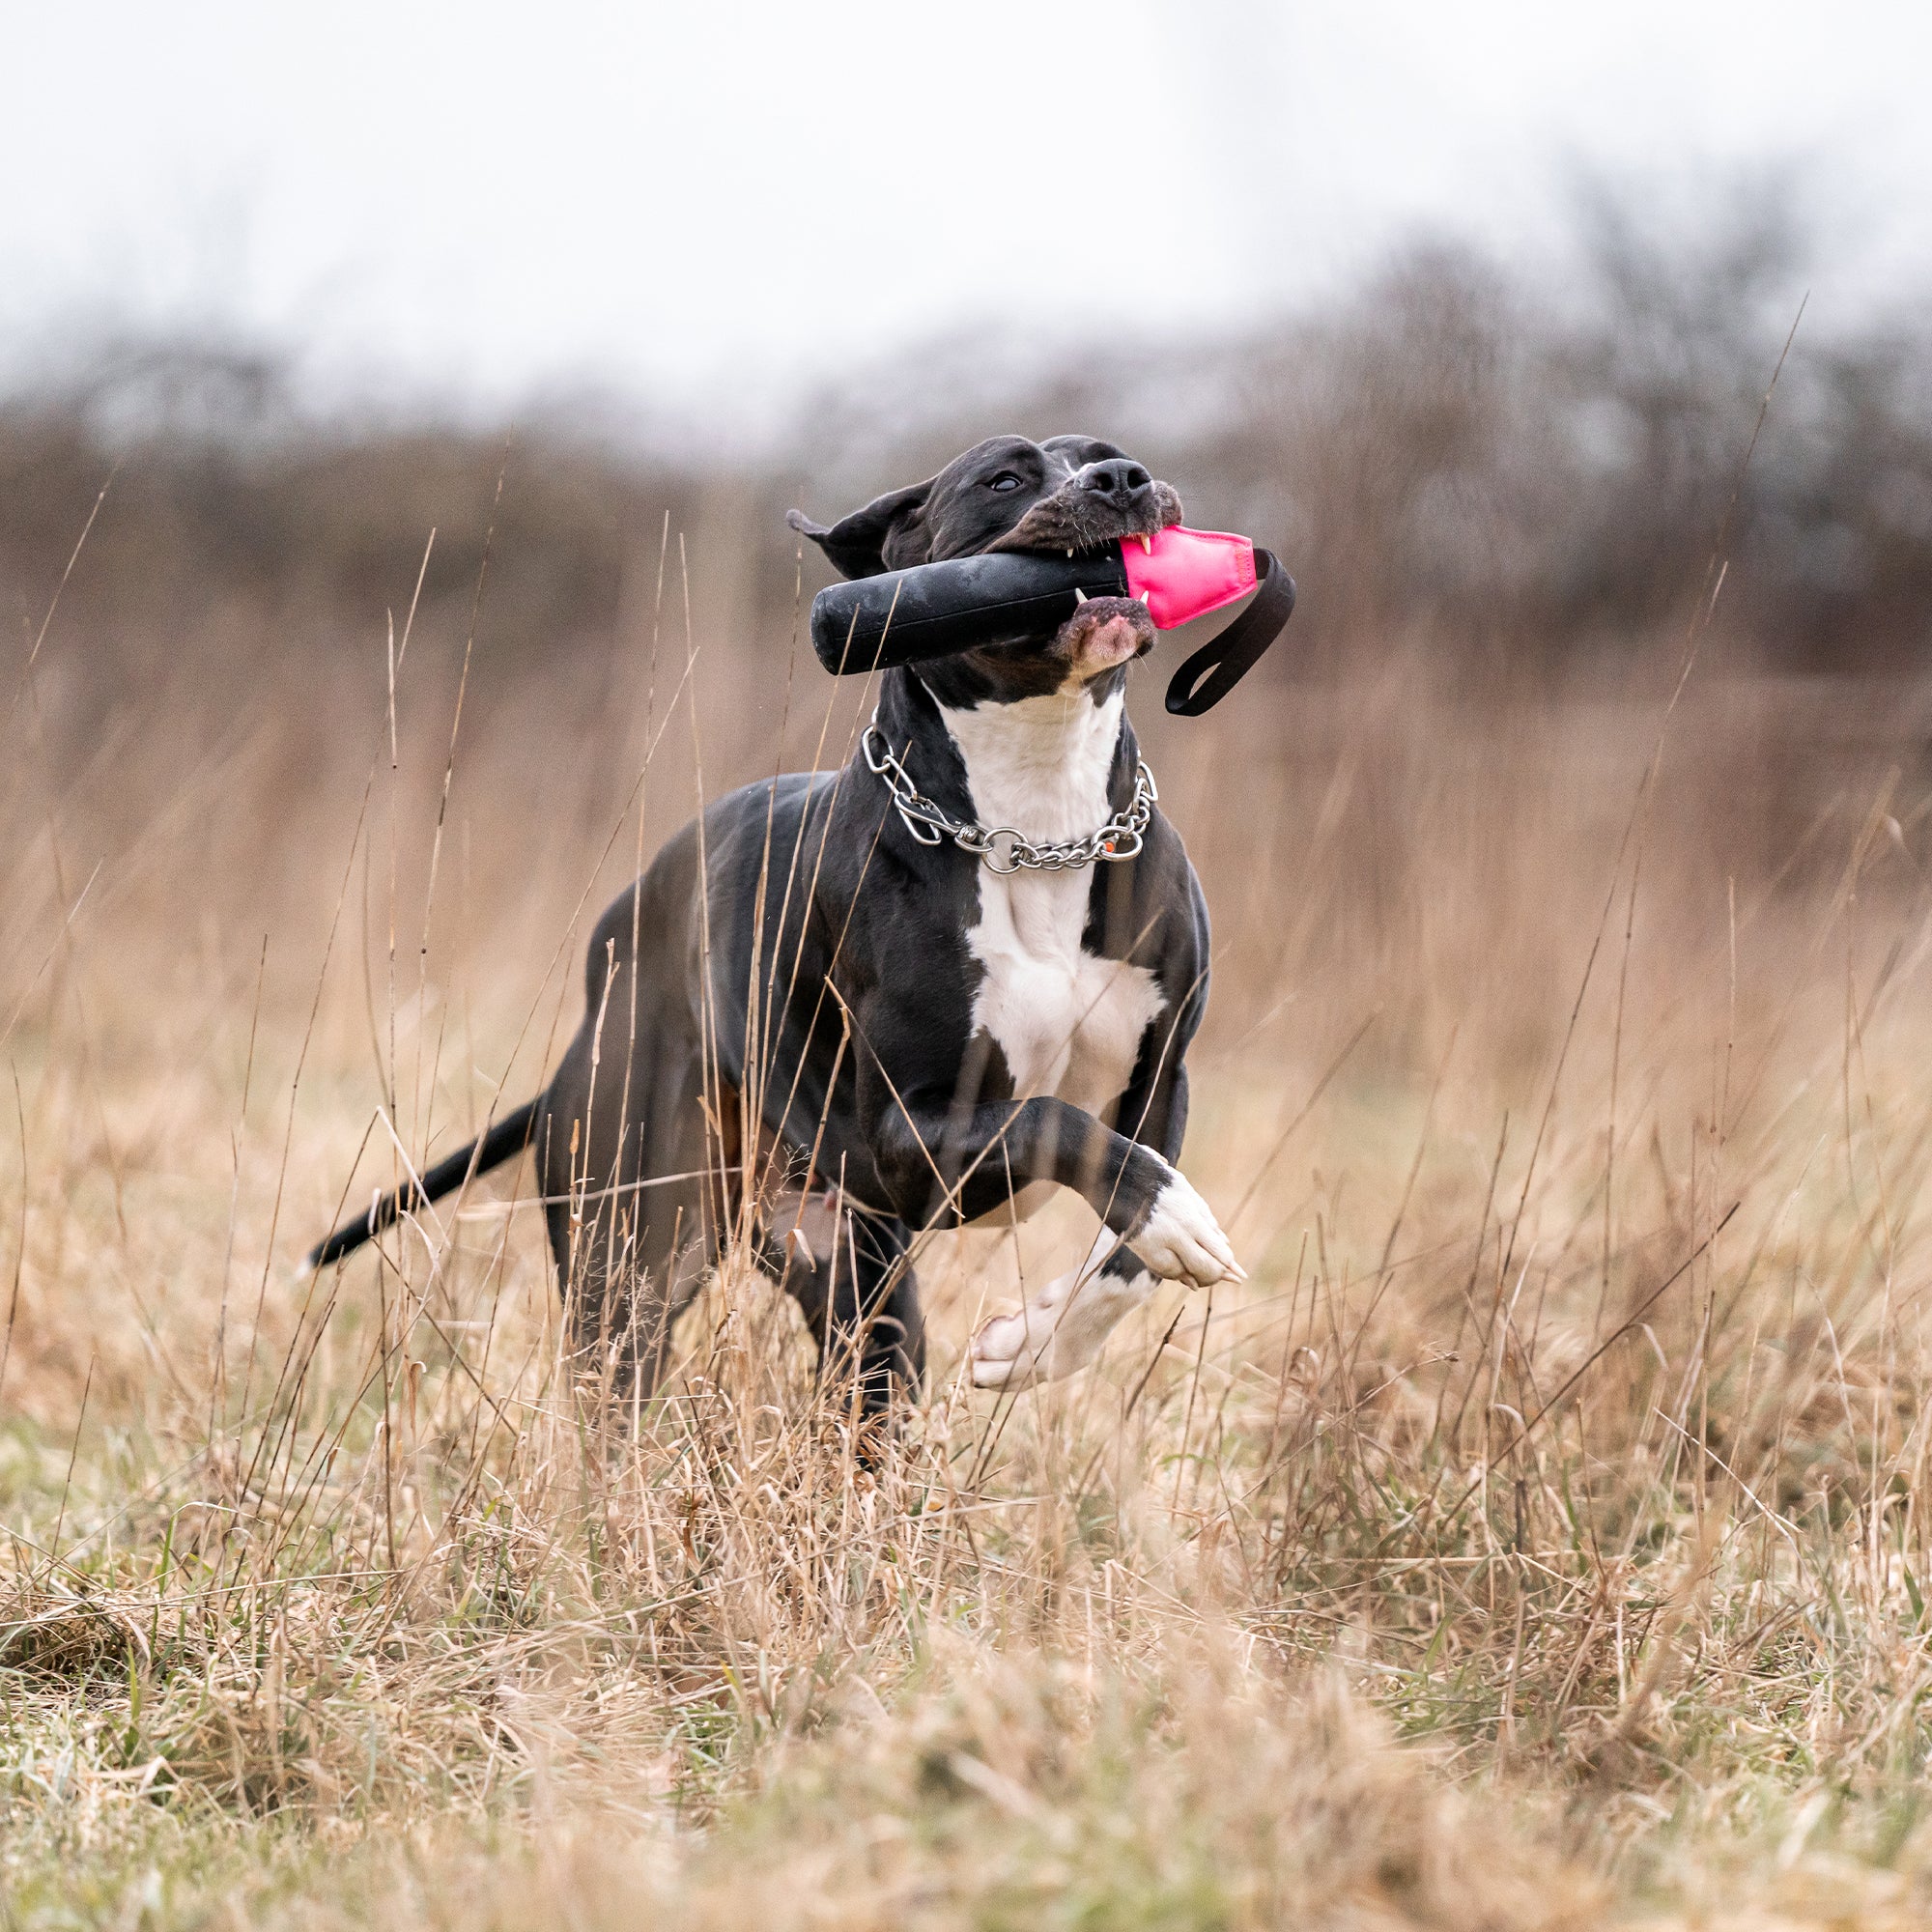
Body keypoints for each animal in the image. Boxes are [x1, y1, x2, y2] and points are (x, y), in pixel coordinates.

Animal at [301, 439, 1236, 1422]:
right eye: (1004, 480)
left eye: (1106, 455)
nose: (1122, 481)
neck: (1037, 820)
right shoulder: (909, 1137)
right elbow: (1055, 1123)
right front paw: (1166, 1221)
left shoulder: (1160, 1082)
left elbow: (1129, 1243)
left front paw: (1042, 1339)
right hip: (637, 1254)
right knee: (614, 1378)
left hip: (858, 1294)